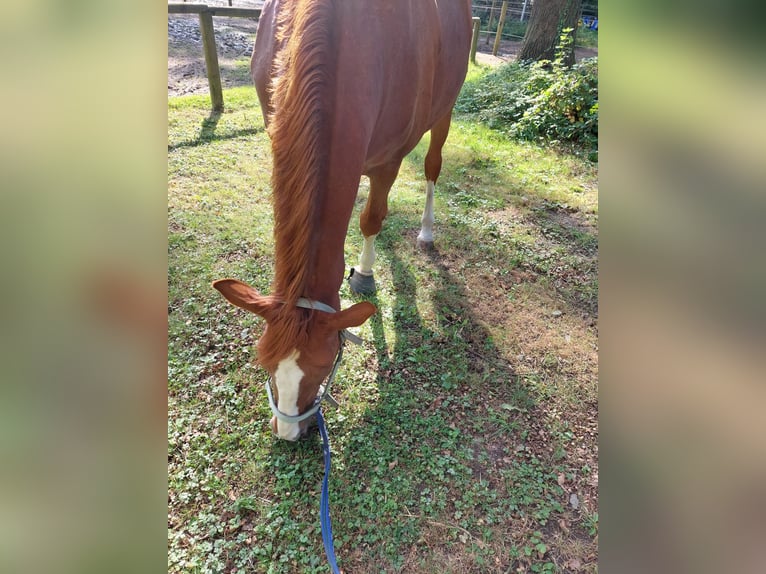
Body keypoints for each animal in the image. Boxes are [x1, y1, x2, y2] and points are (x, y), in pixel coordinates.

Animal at [213, 0, 472, 440]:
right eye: (263, 359)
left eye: (323, 364)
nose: (288, 433)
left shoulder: (388, 160)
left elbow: (371, 218)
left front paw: (364, 273)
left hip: (444, 112)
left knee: (431, 167)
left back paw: (424, 230)